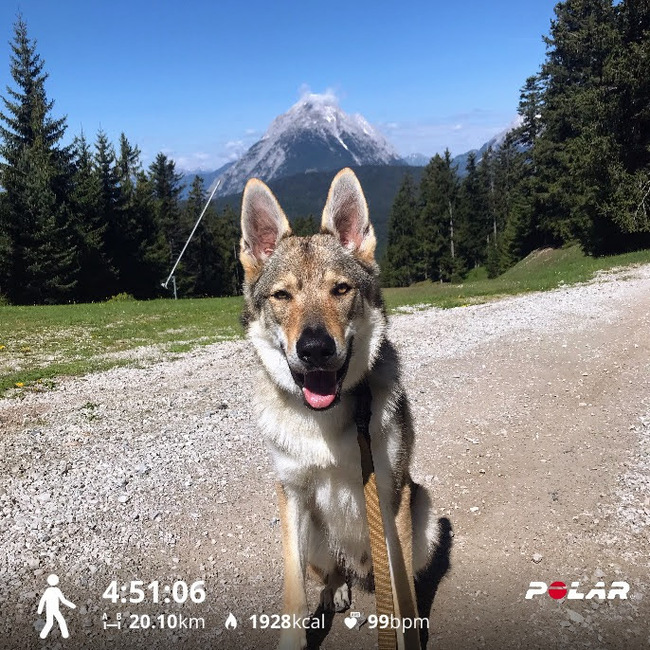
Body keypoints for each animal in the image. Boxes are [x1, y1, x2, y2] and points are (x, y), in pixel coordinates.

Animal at [240, 168, 438, 648]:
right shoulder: (291, 493)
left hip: (424, 513)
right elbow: (294, 592)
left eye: (341, 289)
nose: (314, 348)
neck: (323, 423)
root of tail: (359, 565)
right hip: (315, 533)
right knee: (331, 573)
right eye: (282, 296)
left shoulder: (392, 496)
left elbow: (402, 597)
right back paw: (337, 591)